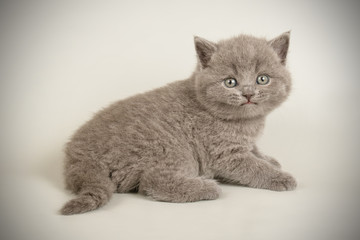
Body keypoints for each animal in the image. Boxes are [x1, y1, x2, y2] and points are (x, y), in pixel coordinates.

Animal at [59, 31, 296, 216]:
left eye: (262, 79)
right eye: (230, 82)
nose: (247, 93)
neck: (245, 122)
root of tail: (76, 159)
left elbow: (255, 152)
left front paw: (269, 159)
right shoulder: (224, 154)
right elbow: (253, 167)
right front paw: (281, 177)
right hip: (172, 148)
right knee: (152, 182)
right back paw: (207, 187)